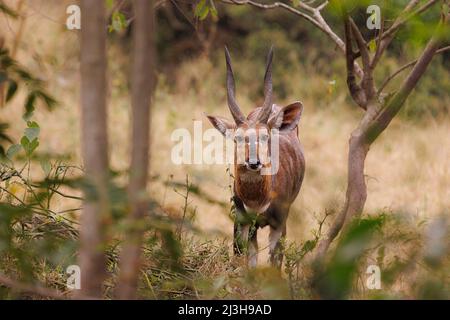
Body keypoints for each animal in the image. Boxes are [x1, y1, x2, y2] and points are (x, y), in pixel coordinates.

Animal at [207, 47, 306, 268]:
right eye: (237, 138)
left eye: (265, 136)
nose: (254, 162)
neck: (258, 200)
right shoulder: (241, 221)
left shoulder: (279, 222)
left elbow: (274, 264)